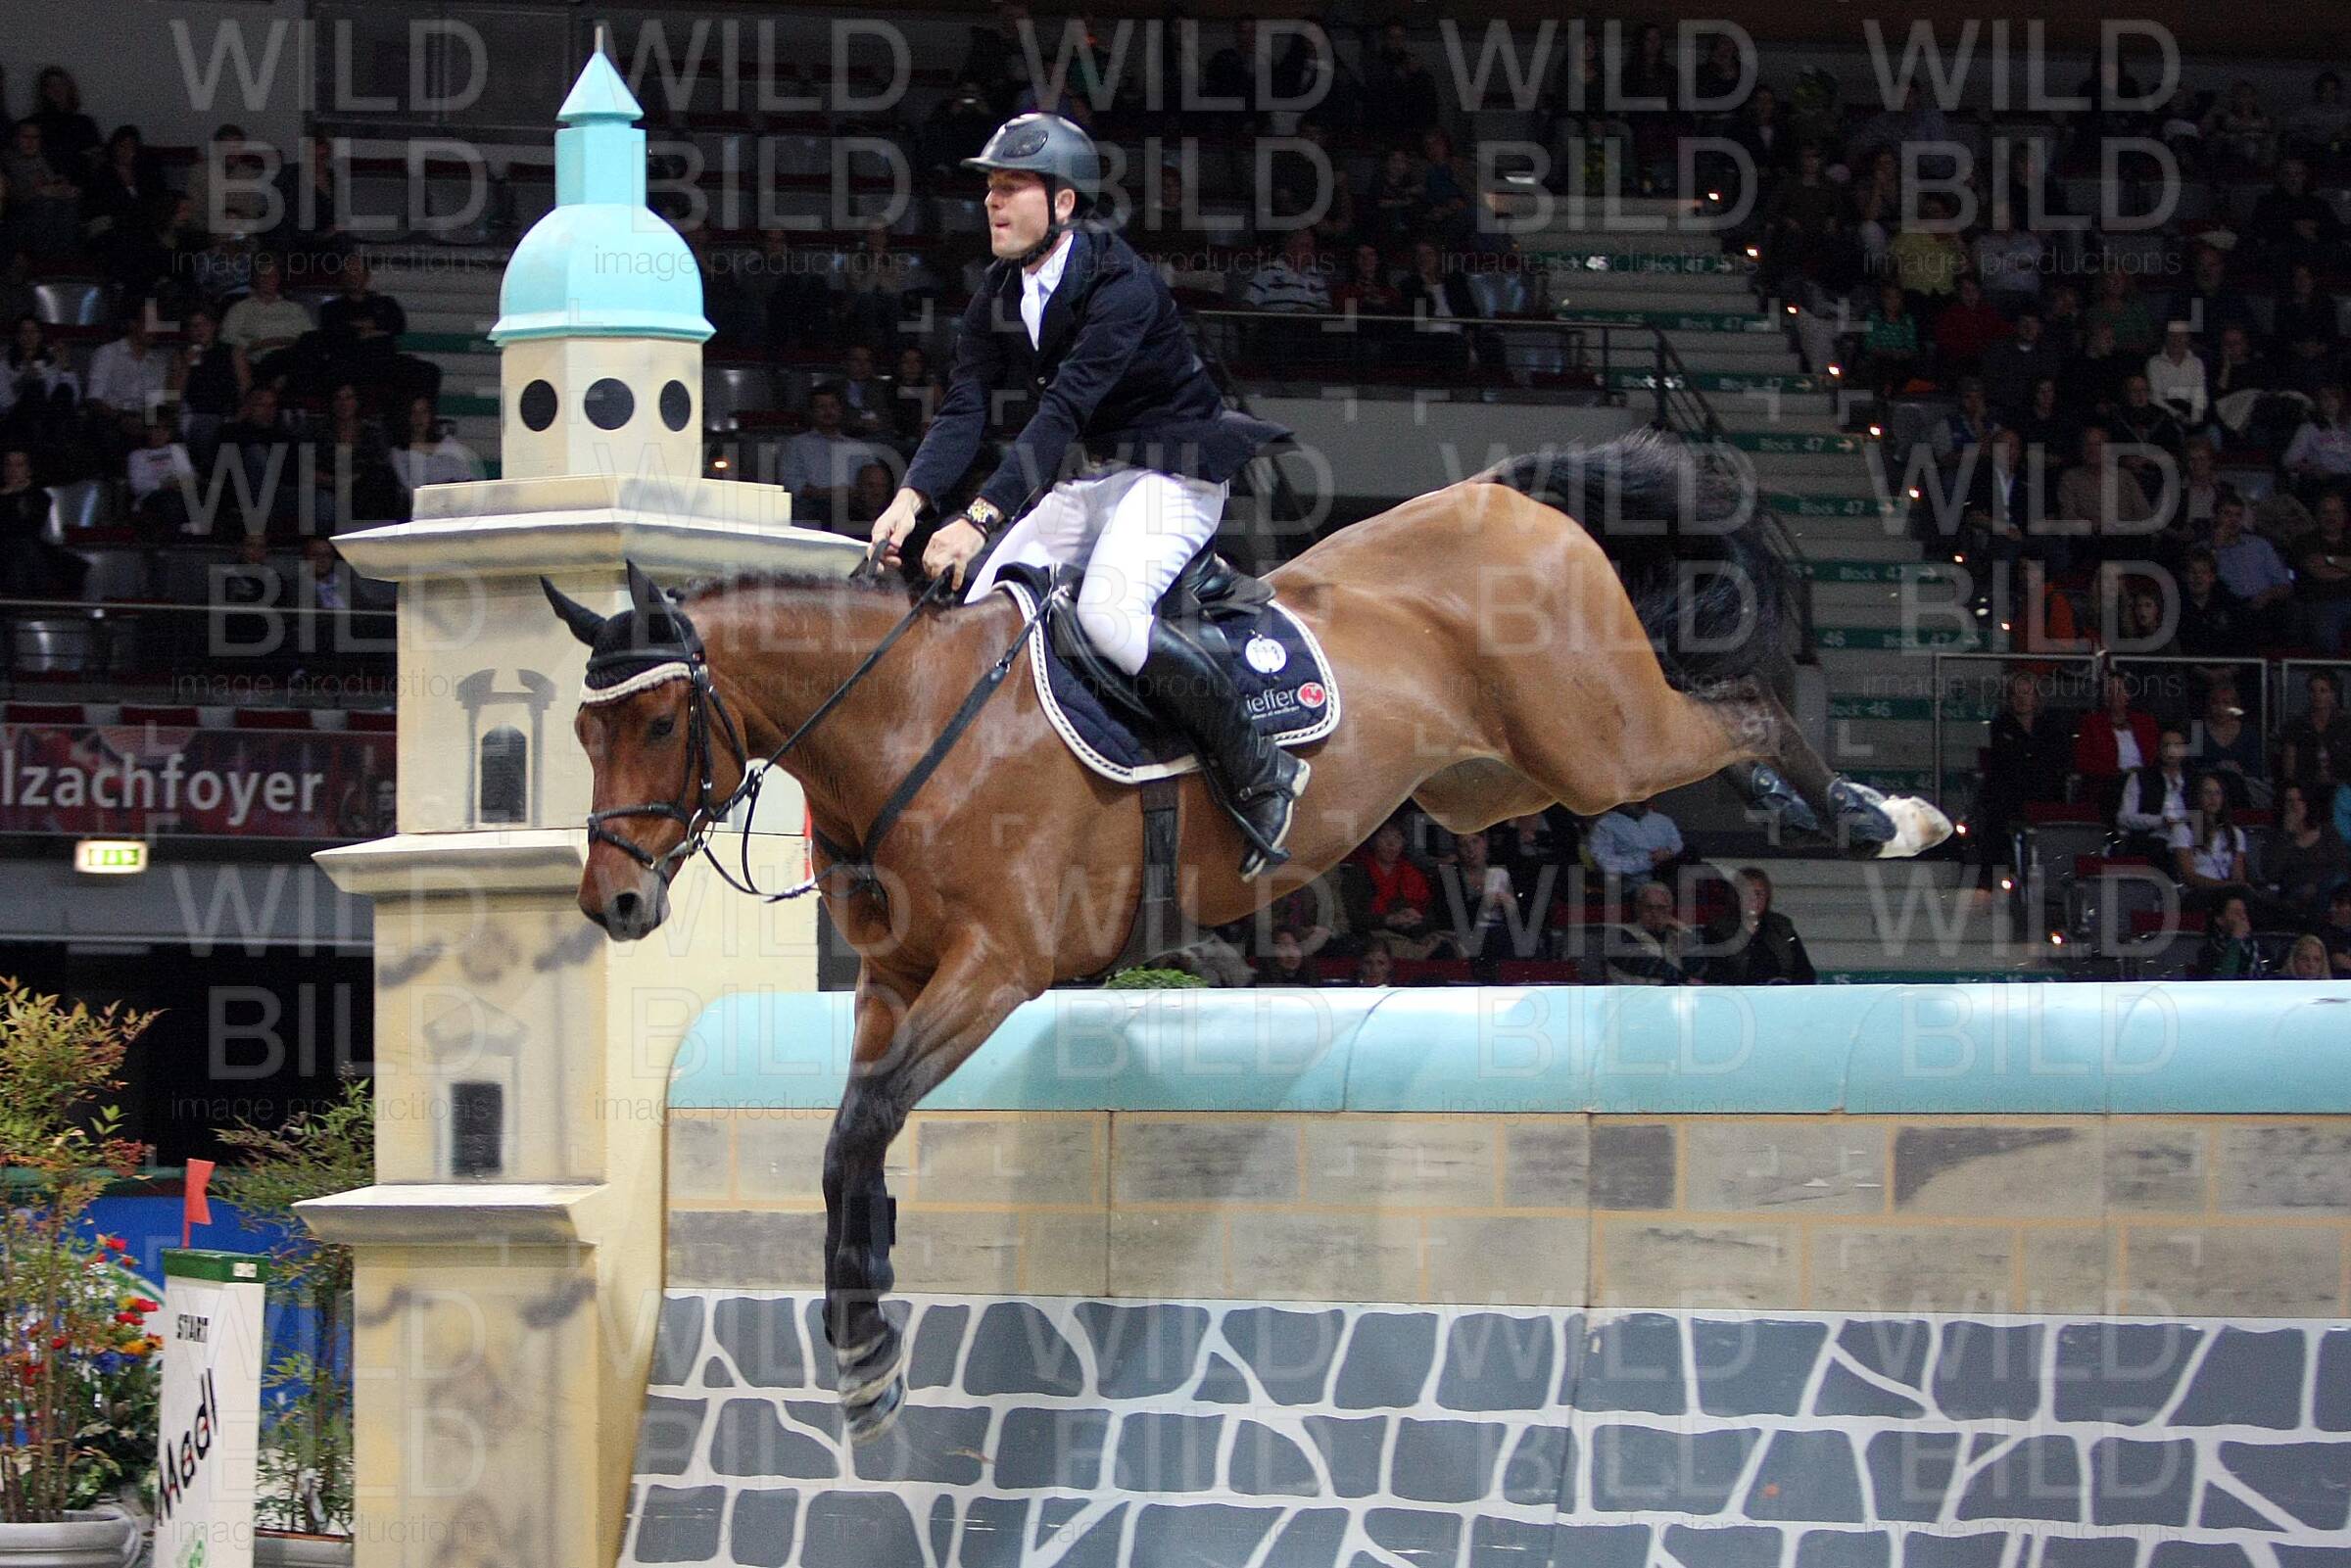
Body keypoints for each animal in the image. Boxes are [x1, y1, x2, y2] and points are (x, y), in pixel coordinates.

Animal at [542, 428, 1950, 1441]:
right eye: (582, 732)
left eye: (658, 724)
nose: (614, 903)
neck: (902, 724)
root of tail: (1500, 494)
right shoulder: (892, 981)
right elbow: (850, 1137)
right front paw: (861, 1339)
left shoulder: (997, 970)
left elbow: (865, 1119)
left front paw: (868, 1352)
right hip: (1490, 782)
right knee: (1691, 735)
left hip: (1594, 740)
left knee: (1738, 716)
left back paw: (1888, 816)